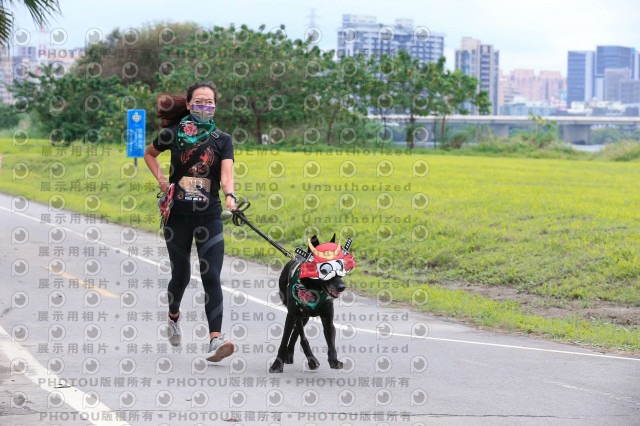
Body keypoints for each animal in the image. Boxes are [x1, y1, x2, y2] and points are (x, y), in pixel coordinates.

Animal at [266, 233, 356, 372]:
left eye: (340, 267)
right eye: (325, 270)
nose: (342, 287)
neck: (314, 289)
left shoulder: (328, 320)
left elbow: (331, 343)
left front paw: (334, 360)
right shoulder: (292, 315)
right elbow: (288, 339)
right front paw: (277, 364)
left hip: (305, 317)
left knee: (296, 332)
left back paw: (291, 354)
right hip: (297, 314)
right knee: (297, 331)